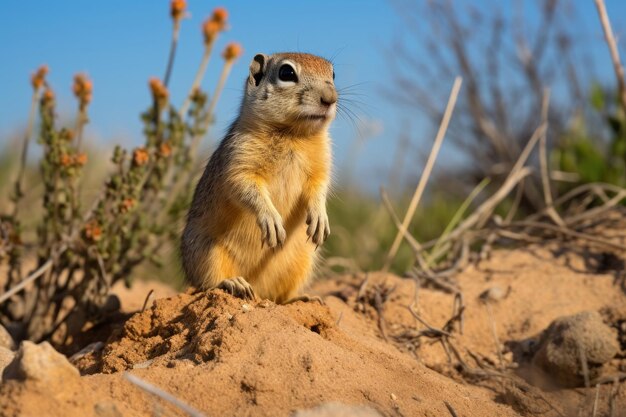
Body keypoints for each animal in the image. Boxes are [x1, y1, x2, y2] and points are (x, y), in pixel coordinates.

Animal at [180, 52, 336, 302]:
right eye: (286, 73)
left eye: (333, 74)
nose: (330, 99)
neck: (292, 134)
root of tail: (259, 290)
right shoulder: (239, 161)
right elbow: (246, 188)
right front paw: (271, 219)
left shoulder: (321, 165)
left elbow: (319, 188)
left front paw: (320, 217)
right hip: (206, 252)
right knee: (208, 283)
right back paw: (234, 283)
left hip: (304, 260)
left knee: (280, 297)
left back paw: (302, 298)